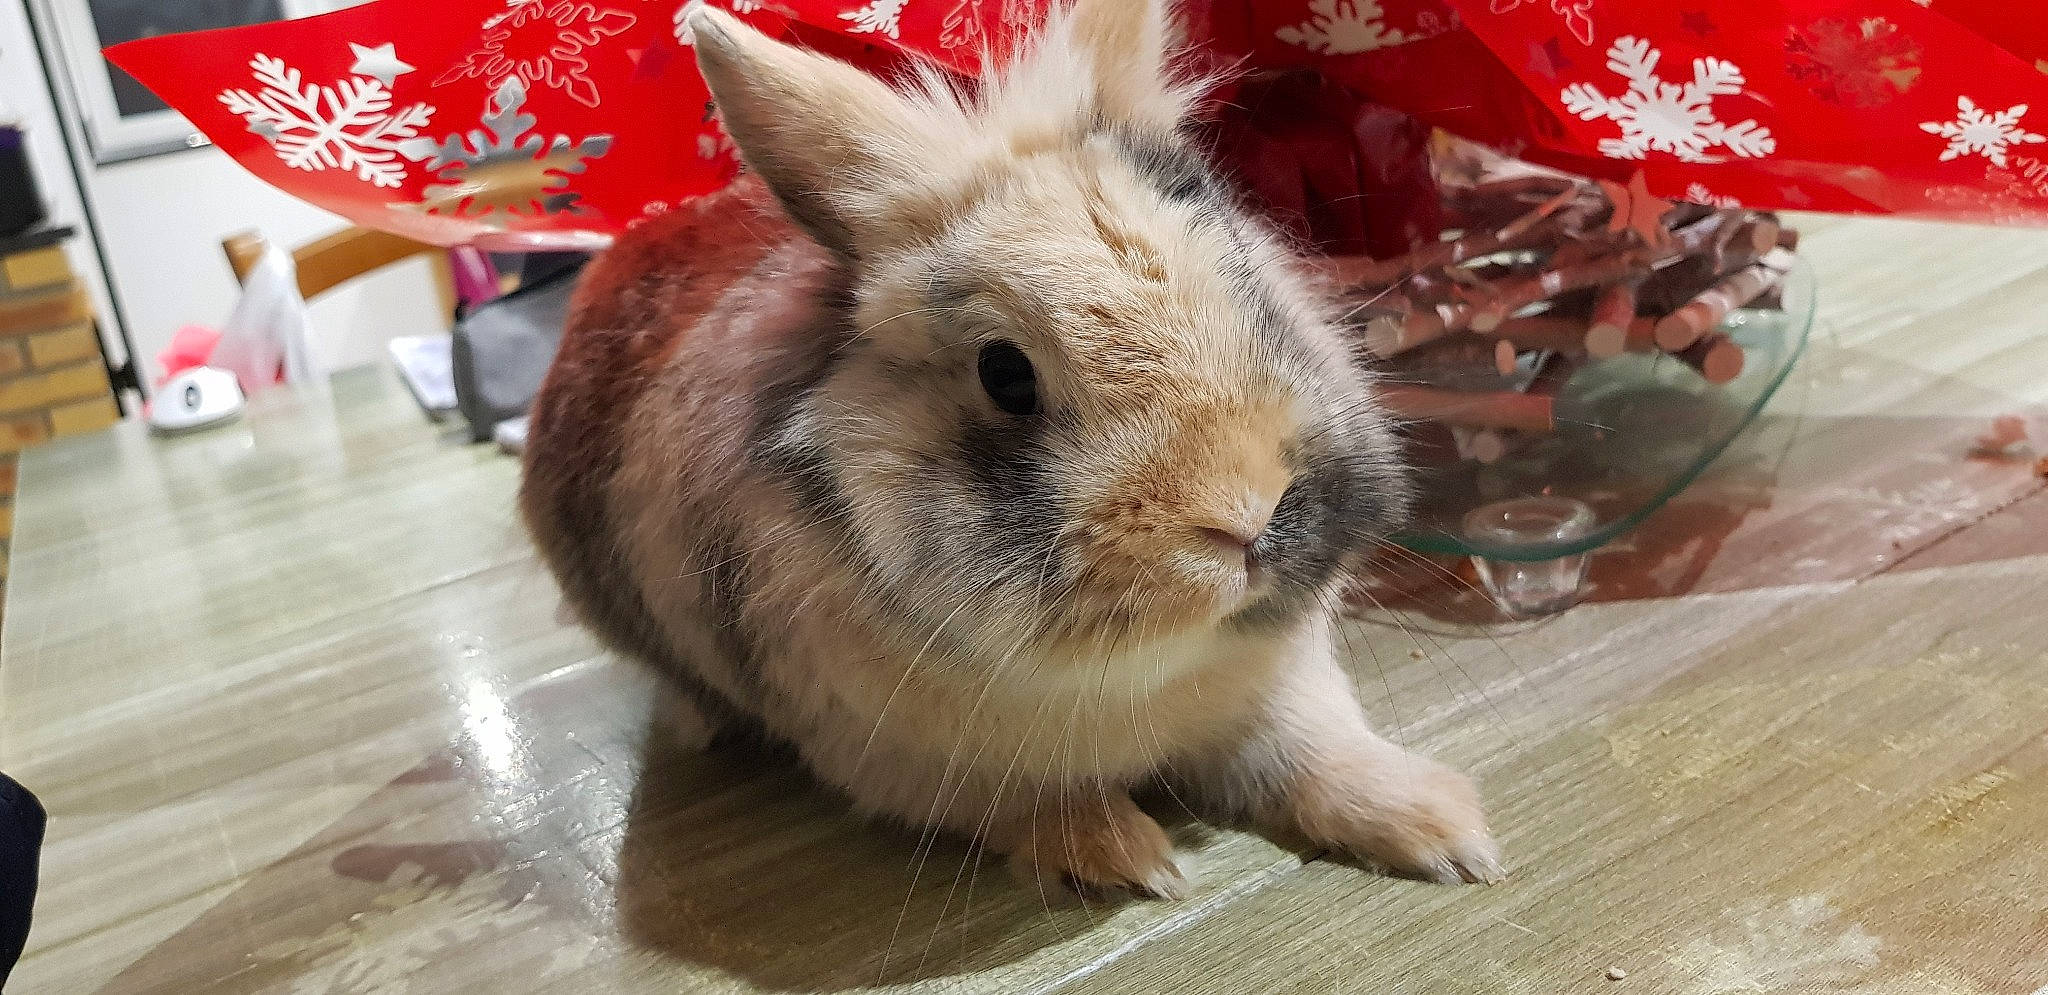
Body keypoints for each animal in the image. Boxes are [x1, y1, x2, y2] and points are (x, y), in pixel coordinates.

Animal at [519, 0, 1502, 897]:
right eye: (1005, 372)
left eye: (1246, 280)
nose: (1245, 517)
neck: (1147, 670)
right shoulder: (906, 761)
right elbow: (1042, 808)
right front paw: (1132, 860)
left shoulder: (1282, 693)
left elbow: (1317, 753)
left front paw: (1448, 831)